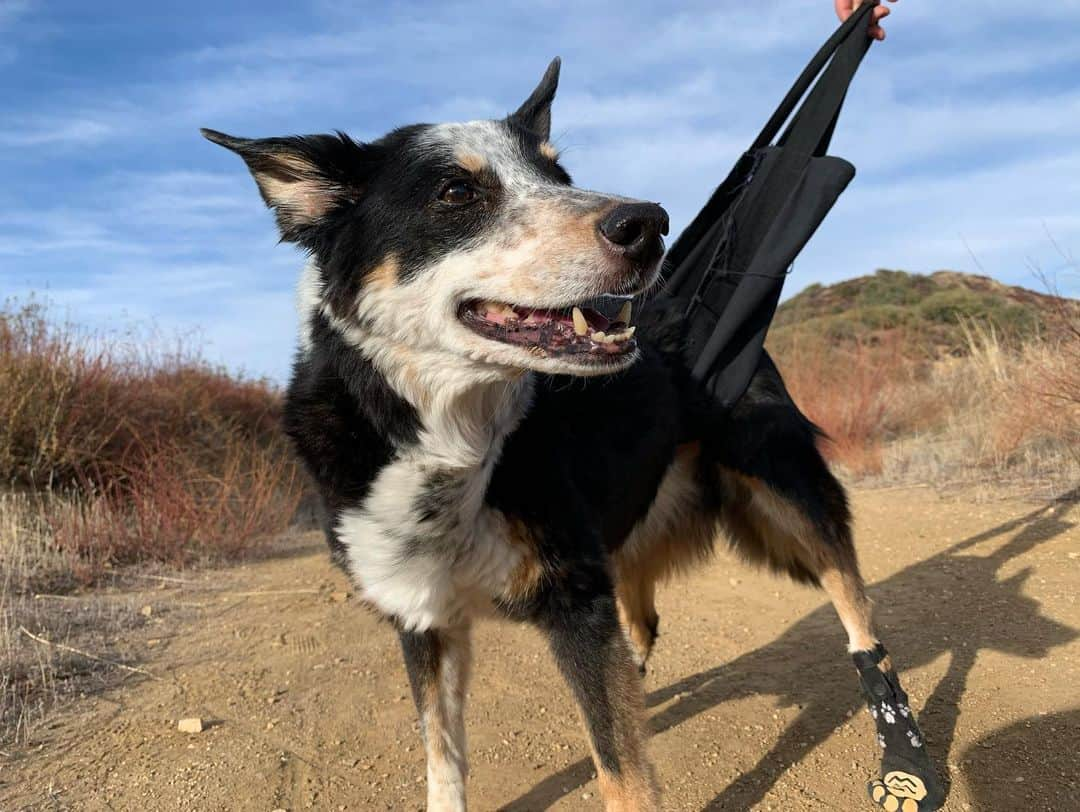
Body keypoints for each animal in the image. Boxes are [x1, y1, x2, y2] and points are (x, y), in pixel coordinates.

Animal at [206, 60, 941, 812]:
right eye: (456, 191)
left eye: (560, 176)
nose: (650, 225)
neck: (451, 433)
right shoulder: (424, 613)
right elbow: (444, 755)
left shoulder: (577, 602)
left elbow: (623, 772)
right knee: (641, 627)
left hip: (789, 491)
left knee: (859, 618)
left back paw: (903, 754)